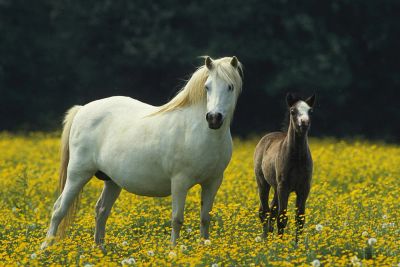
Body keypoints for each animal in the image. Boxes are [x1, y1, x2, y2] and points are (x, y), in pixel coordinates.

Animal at [40, 56, 242, 251]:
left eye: (230, 87)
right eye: (207, 87)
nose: (213, 118)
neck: (200, 132)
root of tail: (82, 109)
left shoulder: (213, 182)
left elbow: (205, 218)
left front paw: (204, 249)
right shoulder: (180, 182)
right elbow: (177, 219)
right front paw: (173, 252)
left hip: (112, 181)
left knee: (101, 211)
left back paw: (100, 250)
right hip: (78, 174)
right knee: (59, 209)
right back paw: (45, 248)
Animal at [255, 93, 314, 242]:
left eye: (310, 111)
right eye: (293, 111)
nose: (304, 123)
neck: (297, 158)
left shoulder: (304, 187)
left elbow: (300, 219)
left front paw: (297, 244)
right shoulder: (284, 187)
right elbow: (282, 217)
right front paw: (281, 244)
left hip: (276, 187)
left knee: (271, 210)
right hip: (264, 184)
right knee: (264, 211)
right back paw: (265, 239)